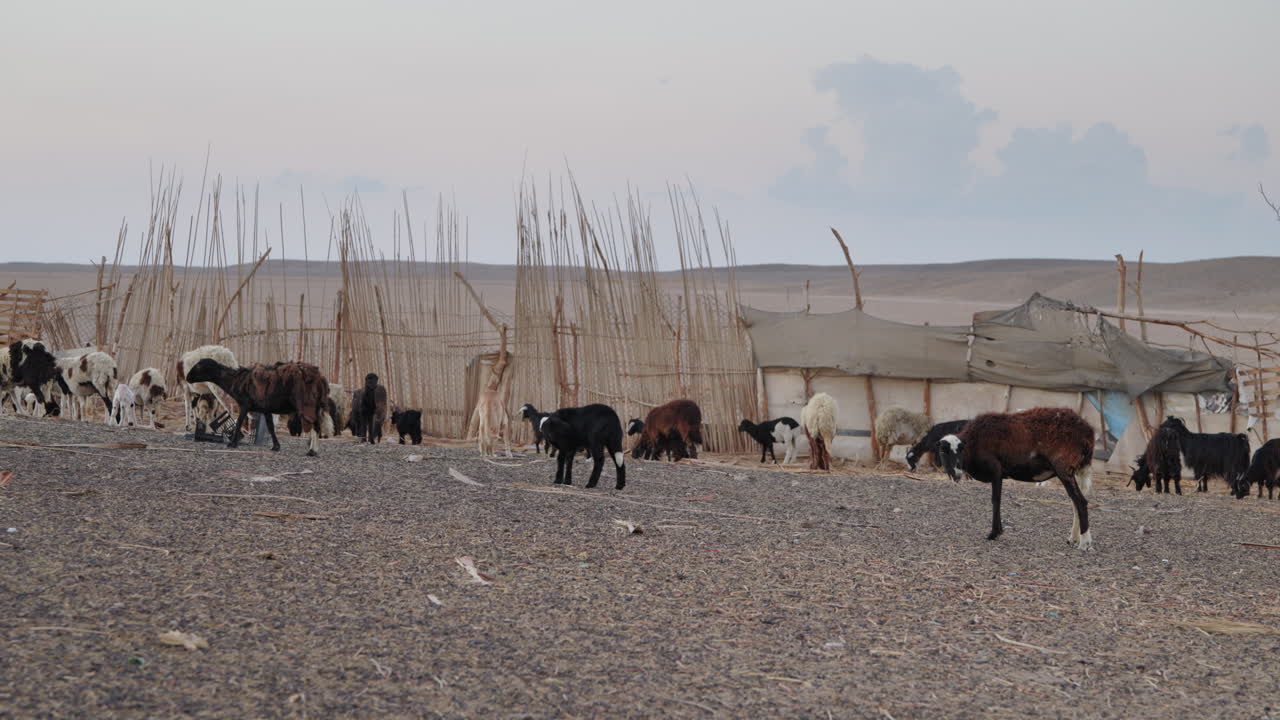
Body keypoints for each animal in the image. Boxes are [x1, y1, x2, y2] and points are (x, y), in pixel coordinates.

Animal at [184, 359, 330, 456]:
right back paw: (313, 450)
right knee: (316, 425)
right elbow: (270, 428)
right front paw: (276, 446)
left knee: (314, 427)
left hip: (307, 404)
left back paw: (312, 451)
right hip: (313, 405)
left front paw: (232, 443)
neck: (234, 380)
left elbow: (239, 423)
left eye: (198, 367)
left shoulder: (245, 404)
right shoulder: (266, 409)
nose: (187, 378)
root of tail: (320, 378)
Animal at [936, 407, 1095, 550]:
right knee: (1075, 503)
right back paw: (1073, 538)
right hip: (1075, 470)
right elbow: (997, 500)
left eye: (960, 450)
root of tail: (1087, 431)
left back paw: (1084, 543)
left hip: (1063, 468)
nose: (955, 473)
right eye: (943, 452)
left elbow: (995, 500)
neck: (974, 442)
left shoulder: (996, 470)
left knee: (1080, 502)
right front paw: (998, 532)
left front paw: (994, 534)